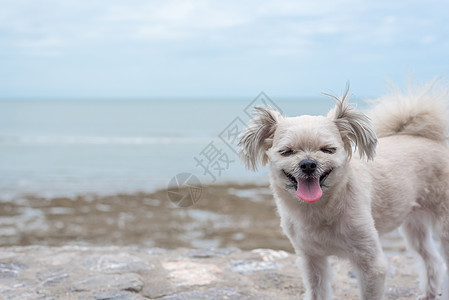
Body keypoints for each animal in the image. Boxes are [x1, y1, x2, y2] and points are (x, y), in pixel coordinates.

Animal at [238, 82, 448, 300]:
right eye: (287, 152)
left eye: (328, 149)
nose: (308, 164)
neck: (320, 209)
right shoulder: (312, 261)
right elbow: (317, 291)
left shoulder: (370, 264)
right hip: (414, 226)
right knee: (432, 260)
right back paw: (429, 293)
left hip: (444, 225)